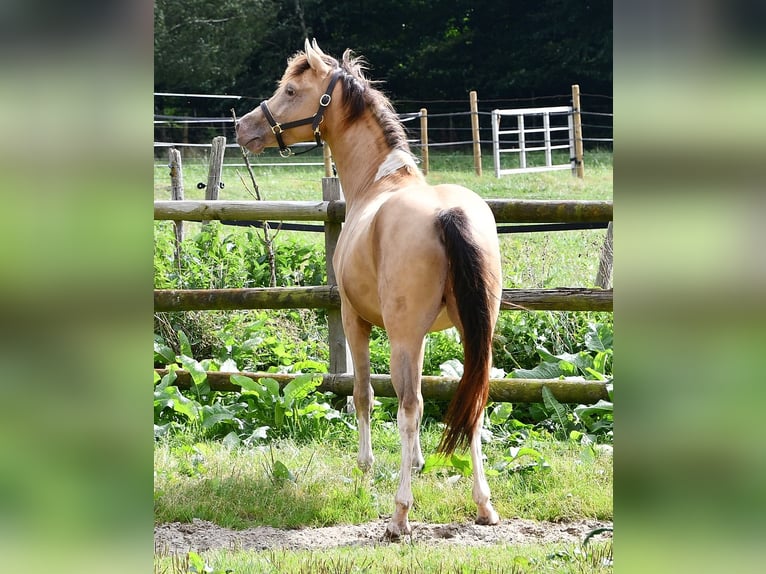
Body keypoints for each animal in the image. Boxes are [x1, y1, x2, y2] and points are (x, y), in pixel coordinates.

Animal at [236, 39, 502, 539]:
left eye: (291, 90)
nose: (243, 127)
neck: (380, 181)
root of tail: (448, 214)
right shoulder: (421, 337)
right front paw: (417, 464)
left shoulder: (354, 319)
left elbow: (364, 393)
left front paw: (365, 466)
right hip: (473, 333)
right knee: (473, 401)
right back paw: (484, 505)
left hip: (400, 335)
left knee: (408, 407)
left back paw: (399, 515)